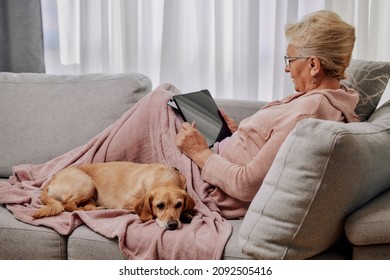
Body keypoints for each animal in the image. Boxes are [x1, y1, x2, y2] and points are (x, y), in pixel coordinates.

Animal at [31, 161, 195, 231]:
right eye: (160, 206)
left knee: (84, 207)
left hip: (91, 194)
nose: (172, 224)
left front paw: (186, 214)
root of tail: (52, 178)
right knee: (69, 205)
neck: (164, 177)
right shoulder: (129, 202)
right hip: (87, 184)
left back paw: (101, 209)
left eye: (179, 204)